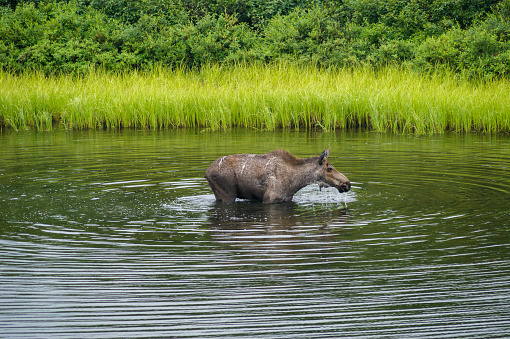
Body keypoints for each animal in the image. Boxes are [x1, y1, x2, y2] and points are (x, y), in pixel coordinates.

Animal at [204, 149, 350, 205]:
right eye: (329, 168)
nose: (347, 183)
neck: (295, 183)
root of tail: (206, 173)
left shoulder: (286, 199)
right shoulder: (269, 199)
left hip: (218, 194)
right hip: (228, 194)